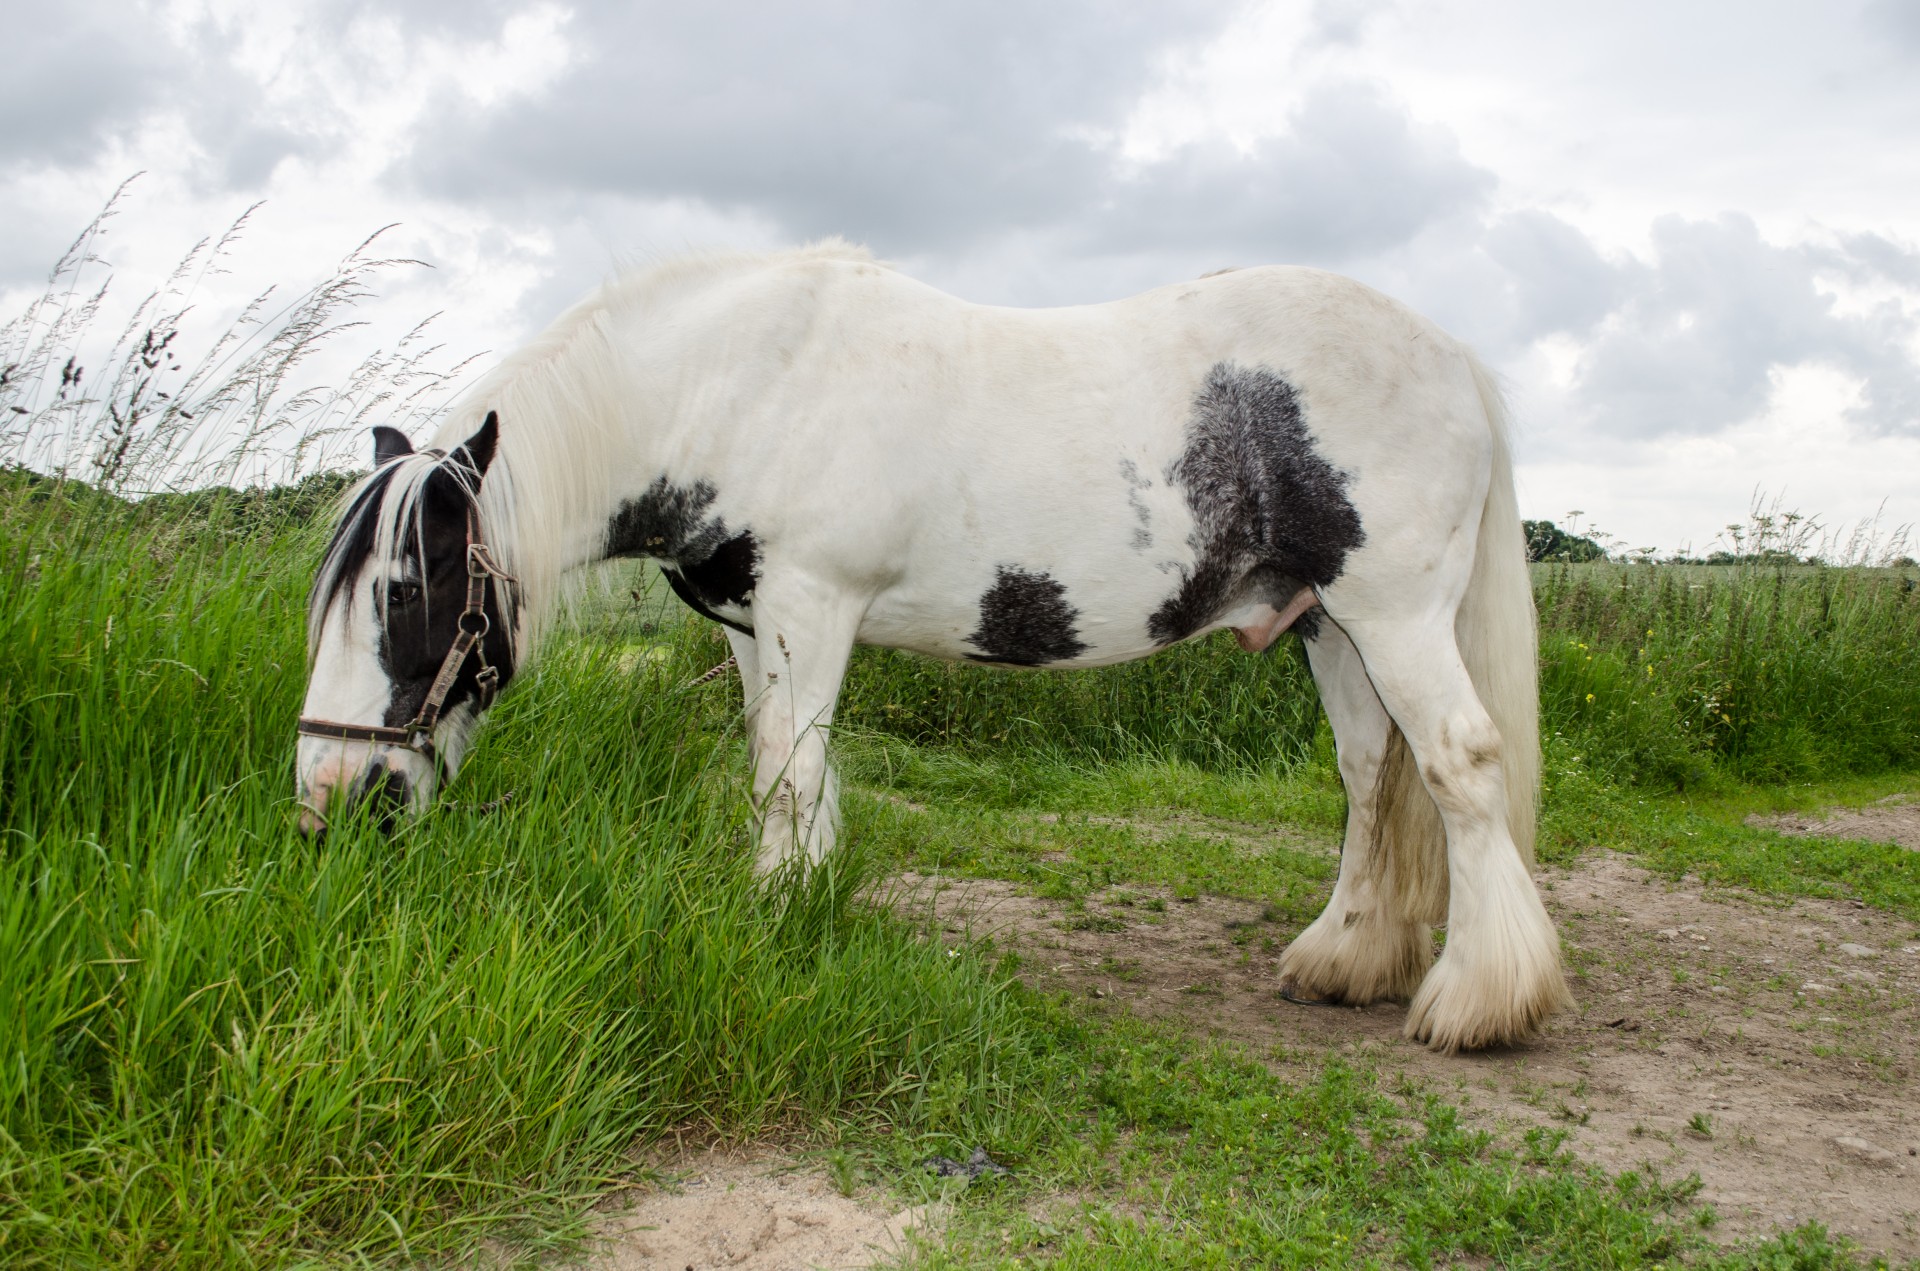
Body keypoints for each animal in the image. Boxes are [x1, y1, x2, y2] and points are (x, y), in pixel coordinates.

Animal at [291, 241, 1566, 1052]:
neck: (742, 383)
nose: (329, 803)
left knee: (1459, 762)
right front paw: (795, 903)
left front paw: (779, 925)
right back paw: (1344, 960)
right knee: (1372, 774)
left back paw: (1478, 1001)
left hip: (1394, 614)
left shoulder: (812, 602)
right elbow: (778, 769)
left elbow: (791, 771)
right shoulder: (759, 625)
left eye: (410, 591)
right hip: (1331, 629)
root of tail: (1452, 356)